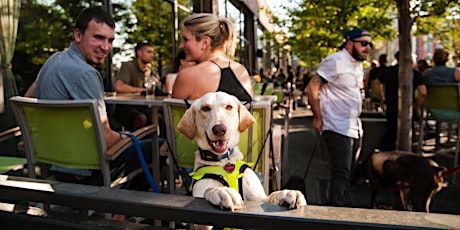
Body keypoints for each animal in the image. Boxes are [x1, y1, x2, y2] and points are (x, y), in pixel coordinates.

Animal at [178, 91, 308, 214]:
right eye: (205, 108)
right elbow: (208, 189)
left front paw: (287, 193)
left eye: (229, 107)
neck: (224, 161)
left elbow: (271, 196)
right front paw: (221, 191)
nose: (219, 129)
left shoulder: (258, 198)